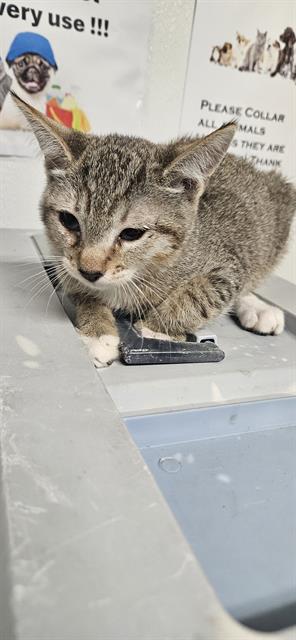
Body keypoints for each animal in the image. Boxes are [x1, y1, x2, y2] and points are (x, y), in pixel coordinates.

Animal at [13, 92, 296, 368]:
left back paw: (258, 307)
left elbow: (203, 294)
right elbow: (83, 294)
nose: (90, 271)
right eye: (69, 221)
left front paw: (154, 329)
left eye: (131, 233)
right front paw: (98, 333)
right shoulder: (66, 266)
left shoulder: (228, 265)